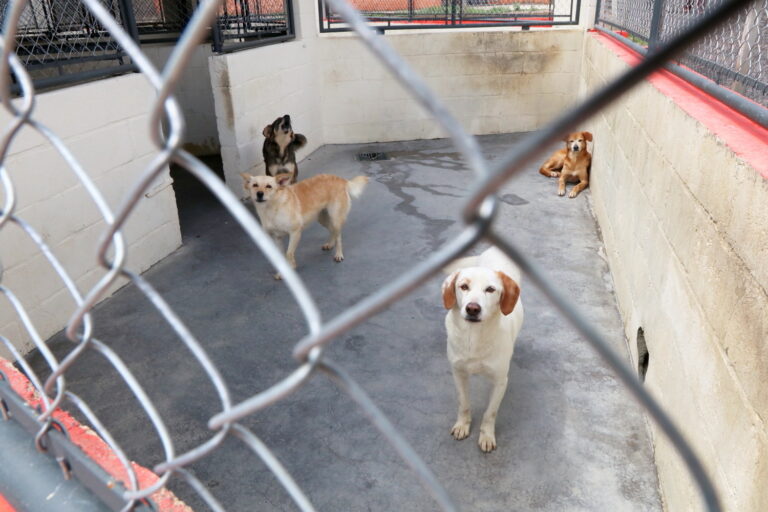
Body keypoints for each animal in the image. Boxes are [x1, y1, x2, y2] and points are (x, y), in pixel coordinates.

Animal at [242, 172, 370, 278]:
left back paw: (339, 254)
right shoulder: (277, 238)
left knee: (338, 236)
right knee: (332, 231)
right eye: (255, 185)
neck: (271, 208)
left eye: (269, 186)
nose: (259, 194)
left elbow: (288, 253)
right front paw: (283, 272)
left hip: (335, 219)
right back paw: (330, 244)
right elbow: (282, 257)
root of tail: (340, 179)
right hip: (321, 219)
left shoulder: (295, 232)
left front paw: (291, 267)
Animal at [440, 248, 524, 452]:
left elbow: (490, 413)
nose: (472, 308)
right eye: (463, 286)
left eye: (490, 289)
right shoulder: (458, 372)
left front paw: (486, 436)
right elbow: (463, 403)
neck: (474, 336)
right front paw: (462, 425)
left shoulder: (501, 381)